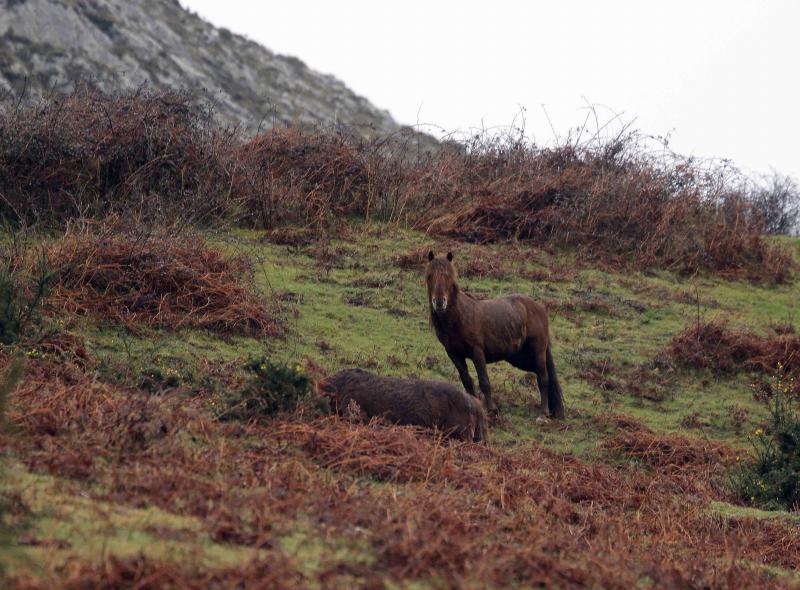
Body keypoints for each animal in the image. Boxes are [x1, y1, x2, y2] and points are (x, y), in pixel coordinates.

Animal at [425, 251, 565, 419]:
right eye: (429, 276)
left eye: (448, 276)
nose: (439, 302)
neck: (459, 317)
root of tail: (540, 309)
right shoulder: (454, 354)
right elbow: (467, 381)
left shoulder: (477, 351)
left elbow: (484, 381)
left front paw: (491, 409)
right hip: (520, 358)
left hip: (538, 351)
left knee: (543, 378)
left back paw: (543, 412)